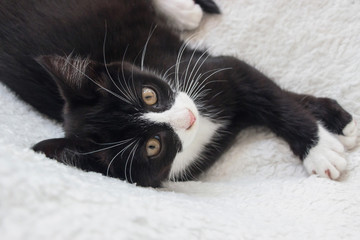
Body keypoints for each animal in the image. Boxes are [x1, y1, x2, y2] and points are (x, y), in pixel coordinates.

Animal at [0, 0, 358, 188]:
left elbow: (274, 98)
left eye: (148, 96)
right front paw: (325, 140)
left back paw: (182, 10)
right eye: (152, 146)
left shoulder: (213, 69)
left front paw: (325, 138)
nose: (187, 117)